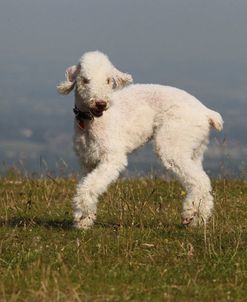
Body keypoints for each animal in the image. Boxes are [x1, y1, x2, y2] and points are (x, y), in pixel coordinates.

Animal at [58, 50, 224, 229]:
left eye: (108, 80)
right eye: (85, 80)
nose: (101, 103)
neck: (90, 121)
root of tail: (206, 112)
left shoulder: (112, 157)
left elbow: (89, 187)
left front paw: (82, 216)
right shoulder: (87, 162)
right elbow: (85, 184)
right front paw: (83, 220)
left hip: (172, 143)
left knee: (200, 180)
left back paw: (191, 215)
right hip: (194, 149)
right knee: (203, 180)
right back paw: (197, 219)